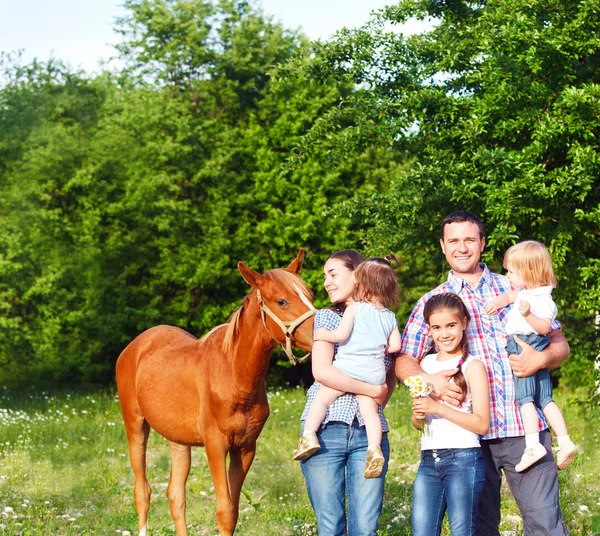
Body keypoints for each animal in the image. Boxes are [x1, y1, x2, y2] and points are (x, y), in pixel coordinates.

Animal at [115, 251, 316, 536]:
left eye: (310, 294)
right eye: (282, 300)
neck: (233, 376)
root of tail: (134, 347)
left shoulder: (245, 448)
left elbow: (231, 512)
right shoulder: (216, 446)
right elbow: (224, 511)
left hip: (178, 441)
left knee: (176, 496)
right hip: (135, 427)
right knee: (142, 492)